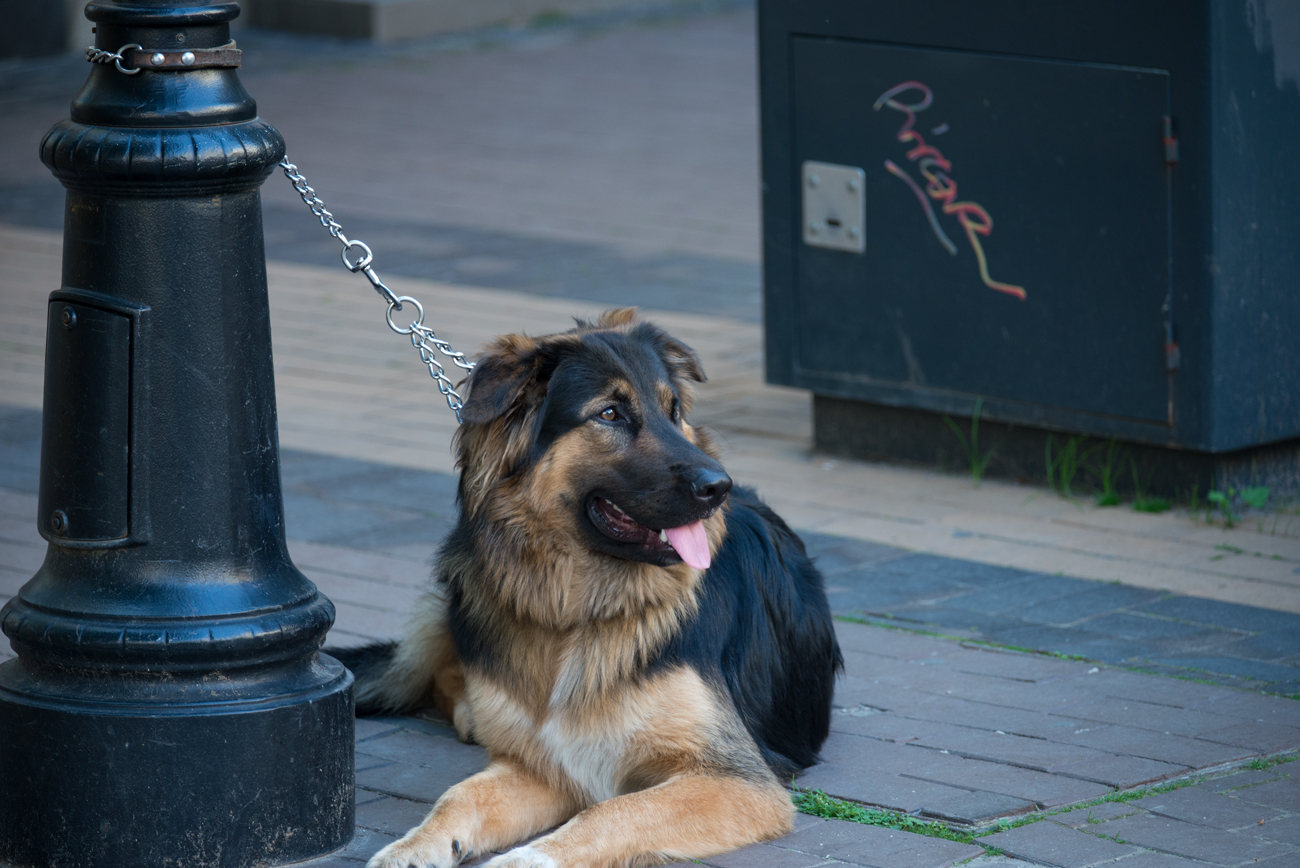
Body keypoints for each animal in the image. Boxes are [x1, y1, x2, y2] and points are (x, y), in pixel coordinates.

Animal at [332, 310, 842, 868]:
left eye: (673, 410)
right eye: (610, 414)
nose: (719, 487)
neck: (577, 611)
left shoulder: (736, 780)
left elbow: (614, 811)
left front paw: (526, 860)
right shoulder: (545, 765)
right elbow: (460, 796)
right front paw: (414, 846)